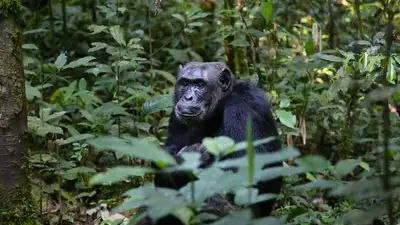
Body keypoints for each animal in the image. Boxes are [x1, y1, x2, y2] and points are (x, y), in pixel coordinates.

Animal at [139, 62, 282, 225]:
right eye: (185, 84)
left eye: (200, 85)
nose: (188, 97)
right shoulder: (176, 116)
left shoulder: (244, 108)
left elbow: (245, 175)